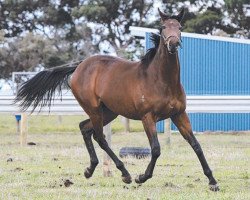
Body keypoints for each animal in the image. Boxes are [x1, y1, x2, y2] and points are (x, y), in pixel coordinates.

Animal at [15, 8, 219, 191]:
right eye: (163, 27)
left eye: (180, 26)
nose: (174, 43)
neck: (161, 80)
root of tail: (80, 66)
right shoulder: (147, 117)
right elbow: (155, 149)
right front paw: (142, 177)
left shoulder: (179, 114)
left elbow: (196, 145)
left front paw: (212, 181)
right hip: (95, 110)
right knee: (99, 137)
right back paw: (125, 174)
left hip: (108, 112)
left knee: (85, 128)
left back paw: (90, 170)